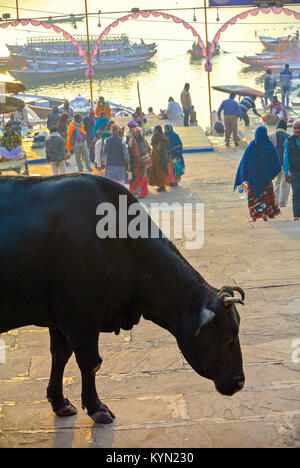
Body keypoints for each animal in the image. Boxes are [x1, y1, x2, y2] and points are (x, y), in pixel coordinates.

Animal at [0, 176, 244, 424]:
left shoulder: (57, 319)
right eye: (228, 336)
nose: (239, 382)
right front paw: (97, 407)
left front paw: (59, 402)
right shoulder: (82, 318)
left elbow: (60, 355)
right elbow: (90, 362)